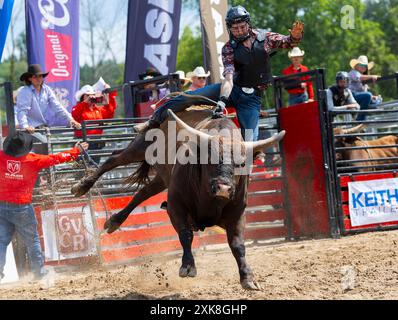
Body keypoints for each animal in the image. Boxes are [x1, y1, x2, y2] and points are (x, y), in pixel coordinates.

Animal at [70, 108, 286, 290]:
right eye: (209, 158)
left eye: (241, 163)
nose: (224, 188)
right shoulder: (176, 206)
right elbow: (185, 234)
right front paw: (188, 266)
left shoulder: (237, 213)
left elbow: (238, 245)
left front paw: (248, 278)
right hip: (141, 146)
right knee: (114, 158)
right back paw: (82, 186)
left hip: (162, 177)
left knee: (143, 192)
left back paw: (114, 221)